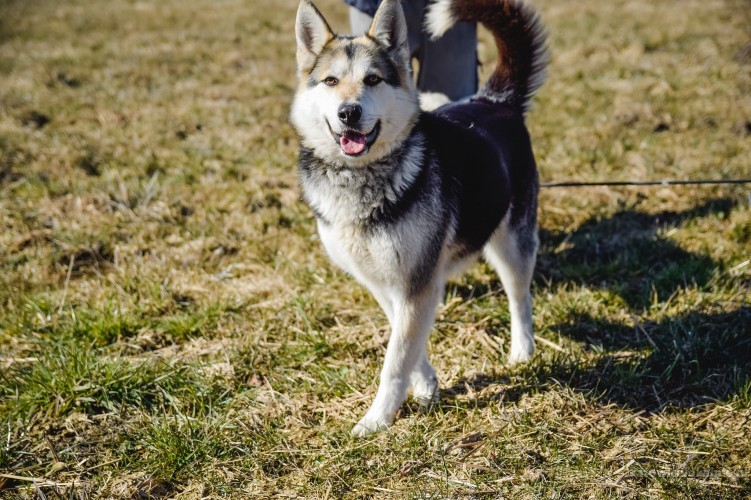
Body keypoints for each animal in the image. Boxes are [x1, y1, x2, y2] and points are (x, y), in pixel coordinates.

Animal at [290, 0, 548, 436]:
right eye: (330, 81)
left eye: (373, 79)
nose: (348, 112)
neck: (361, 176)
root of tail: (494, 101)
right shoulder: (386, 282)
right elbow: (406, 341)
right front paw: (426, 385)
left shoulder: (417, 283)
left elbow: (395, 361)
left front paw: (377, 419)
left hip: (512, 244)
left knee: (520, 298)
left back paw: (522, 350)